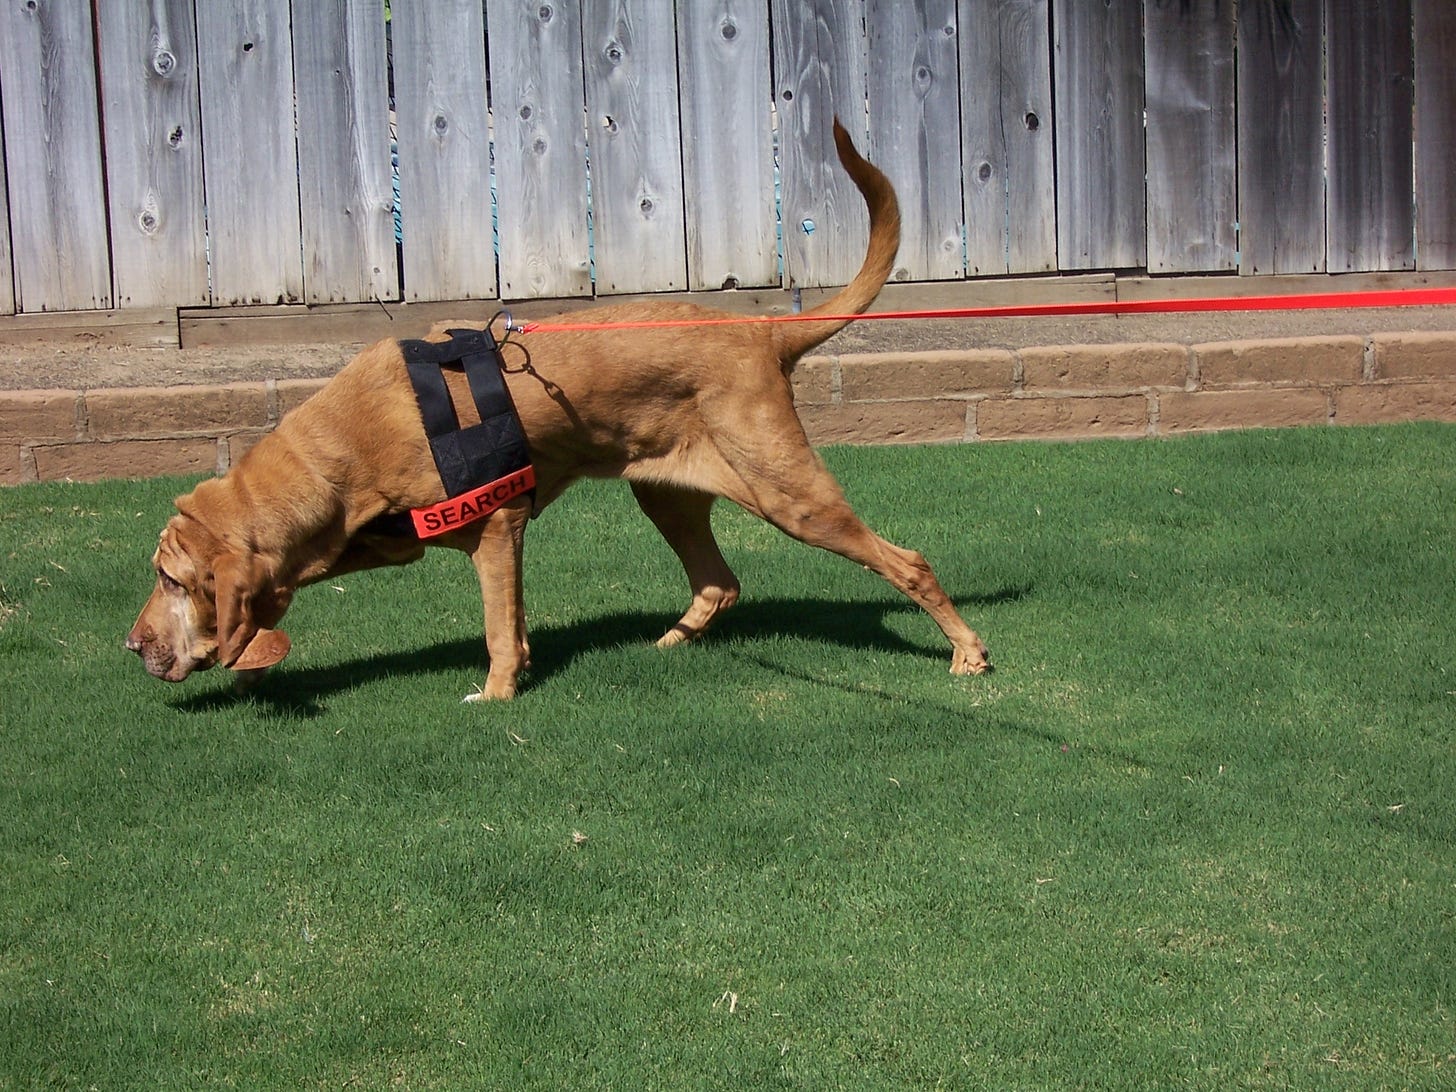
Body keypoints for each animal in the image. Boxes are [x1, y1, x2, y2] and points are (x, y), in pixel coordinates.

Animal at [128, 119, 990, 701]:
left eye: (171, 580)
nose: (132, 647)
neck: (337, 456)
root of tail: (759, 330)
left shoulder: (494, 528)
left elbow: (496, 629)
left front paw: (496, 693)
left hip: (789, 492)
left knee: (906, 561)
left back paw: (966, 652)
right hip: (666, 492)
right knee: (719, 581)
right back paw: (668, 643)